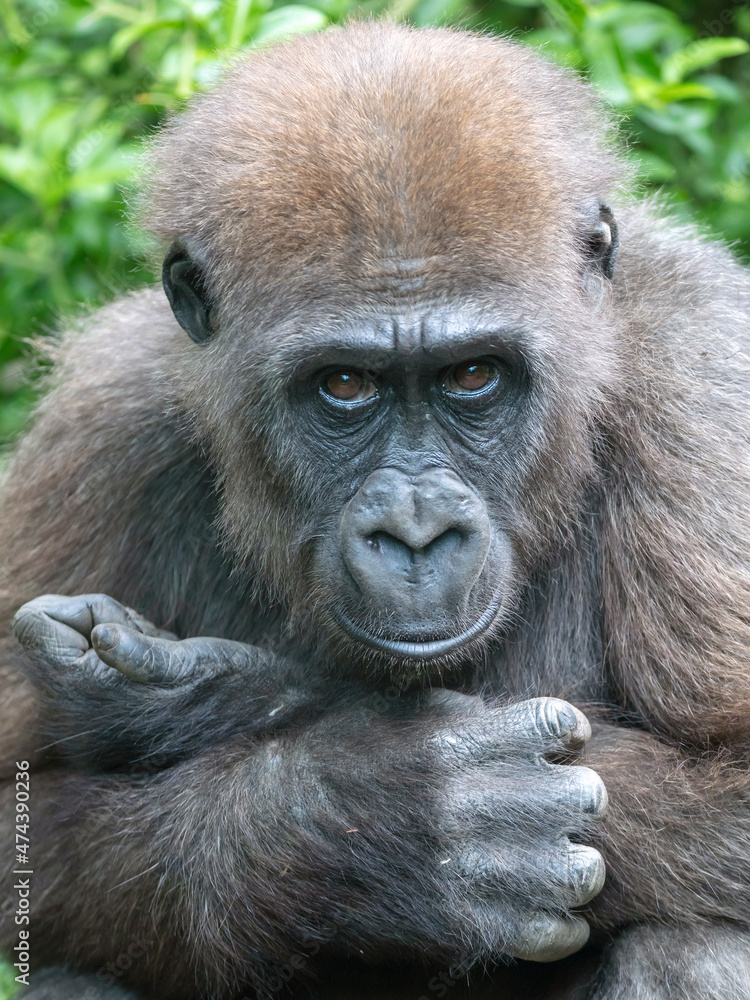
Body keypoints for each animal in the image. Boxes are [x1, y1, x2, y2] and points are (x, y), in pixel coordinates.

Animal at [1, 21, 750, 1000]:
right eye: (345, 386)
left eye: (473, 374)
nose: (417, 532)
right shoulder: (101, 415)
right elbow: (26, 807)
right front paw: (364, 812)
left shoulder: (706, 365)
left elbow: (737, 785)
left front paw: (215, 698)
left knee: (693, 946)